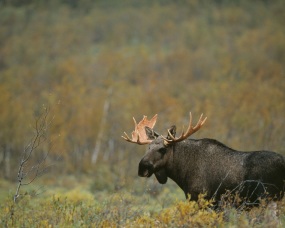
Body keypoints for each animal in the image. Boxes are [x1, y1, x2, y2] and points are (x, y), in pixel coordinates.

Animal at [121, 113, 284, 208]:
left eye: (163, 149)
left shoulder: (199, 197)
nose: (142, 167)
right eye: (148, 147)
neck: (181, 173)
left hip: (267, 198)